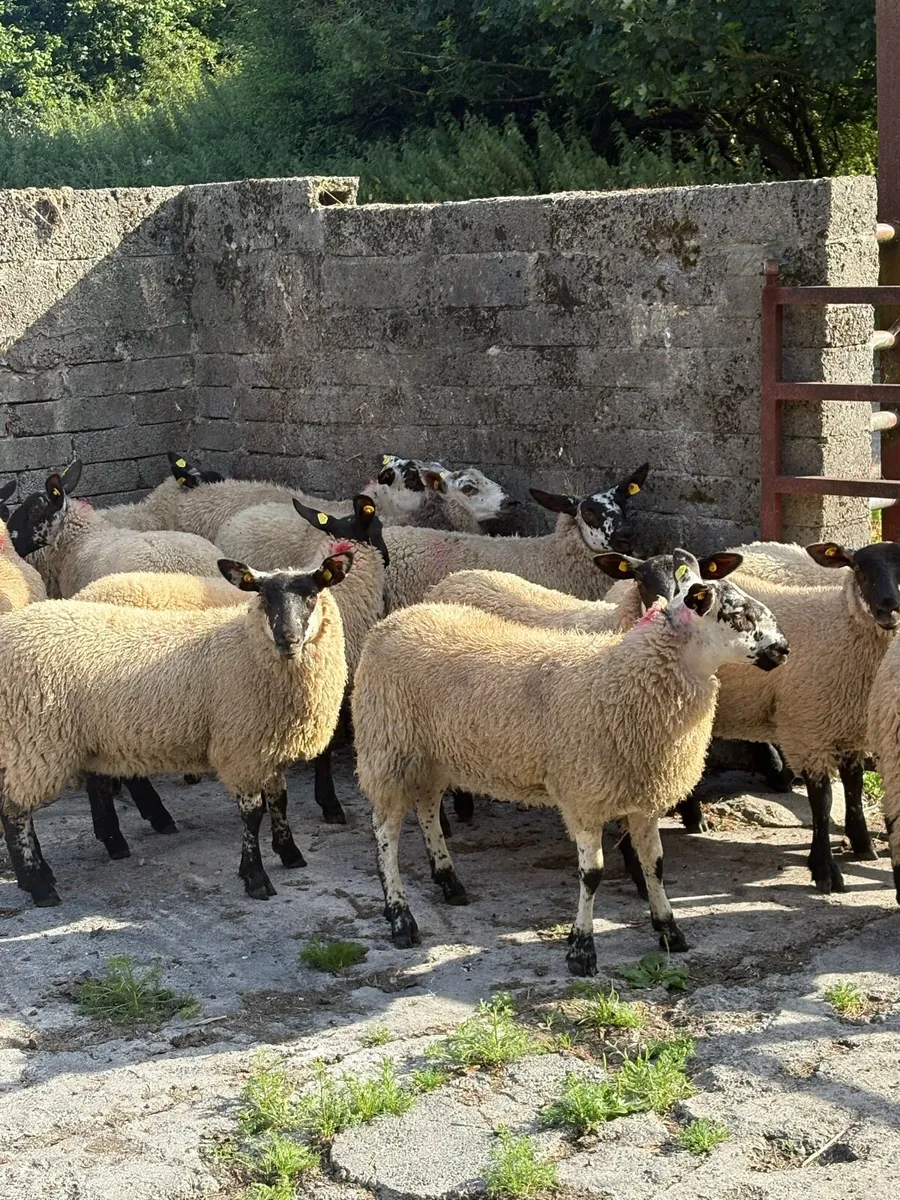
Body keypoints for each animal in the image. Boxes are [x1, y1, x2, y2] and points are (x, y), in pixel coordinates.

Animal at [0, 549, 354, 907]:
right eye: (263, 596)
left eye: (312, 595)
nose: (287, 639)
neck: (246, 645)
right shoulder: (241, 748)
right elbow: (253, 814)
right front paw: (255, 876)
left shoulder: (267, 746)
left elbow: (280, 801)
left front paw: (289, 853)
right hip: (33, 741)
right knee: (14, 811)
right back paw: (40, 884)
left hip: (86, 736)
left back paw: (90, 853)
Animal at [352, 551, 788, 975]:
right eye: (738, 615)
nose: (783, 648)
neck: (629, 675)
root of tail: (398, 618)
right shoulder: (585, 795)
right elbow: (592, 875)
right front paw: (581, 950)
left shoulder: (642, 792)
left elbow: (656, 864)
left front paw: (669, 929)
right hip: (389, 748)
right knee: (386, 833)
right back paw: (400, 918)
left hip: (434, 753)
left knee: (427, 808)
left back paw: (449, 881)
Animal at [710, 540, 900, 894]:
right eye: (858, 567)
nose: (889, 609)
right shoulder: (808, 726)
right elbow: (822, 801)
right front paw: (824, 869)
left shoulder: (849, 724)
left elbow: (853, 785)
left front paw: (862, 844)